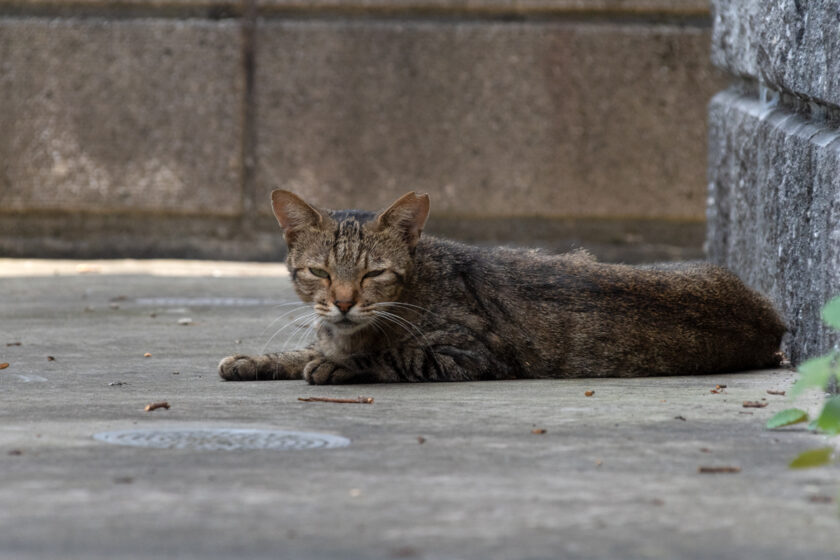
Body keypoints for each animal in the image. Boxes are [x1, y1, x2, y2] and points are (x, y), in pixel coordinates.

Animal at [218, 190, 788, 382]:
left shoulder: (469, 354)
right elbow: (304, 349)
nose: (341, 302)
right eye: (319, 272)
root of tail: (773, 317)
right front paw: (253, 360)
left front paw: (339, 364)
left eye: (373, 274)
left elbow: (392, 355)